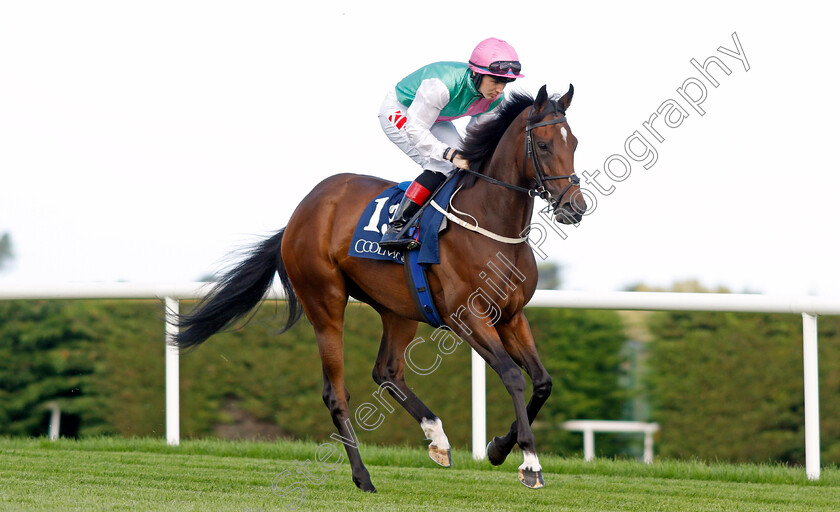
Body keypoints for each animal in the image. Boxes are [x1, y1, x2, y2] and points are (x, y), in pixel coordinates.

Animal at [174, 84, 584, 492]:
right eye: (543, 145)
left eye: (575, 142)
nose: (574, 207)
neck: (489, 224)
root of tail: (299, 215)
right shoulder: (468, 316)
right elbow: (513, 376)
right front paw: (529, 462)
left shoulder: (512, 315)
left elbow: (542, 382)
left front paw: (499, 448)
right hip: (325, 302)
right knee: (336, 393)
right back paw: (363, 476)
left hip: (399, 309)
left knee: (387, 371)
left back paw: (437, 438)